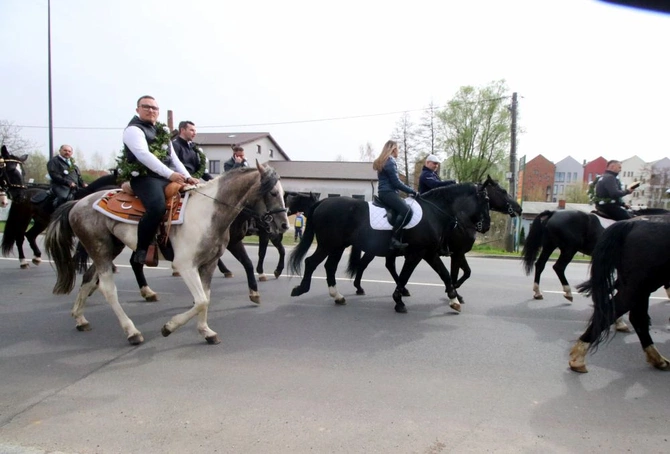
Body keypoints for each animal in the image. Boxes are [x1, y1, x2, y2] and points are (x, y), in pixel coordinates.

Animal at [290, 183, 494, 314]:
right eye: (486, 200)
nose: (486, 226)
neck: (433, 213)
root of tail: (323, 202)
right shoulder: (418, 253)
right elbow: (405, 276)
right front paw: (399, 301)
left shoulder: (429, 253)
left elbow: (444, 274)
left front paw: (454, 300)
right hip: (328, 244)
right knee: (311, 262)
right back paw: (301, 289)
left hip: (338, 246)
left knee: (329, 266)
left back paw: (338, 296)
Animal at [350, 176, 524, 304]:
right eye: (503, 191)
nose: (519, 208)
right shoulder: (456, 253)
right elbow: (455, 274)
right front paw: (454, 292)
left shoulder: (457, 253)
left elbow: (466, 272)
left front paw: (454, 291)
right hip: (377, 249)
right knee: (365, 264)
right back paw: (359, 287)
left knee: (387, 265)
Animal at [524, 208, 670, 302]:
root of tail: (554, 213)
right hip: (569, 249)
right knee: (558, 267)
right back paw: (568, 292)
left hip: (550, 246)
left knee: (540, 264)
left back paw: (538, 292)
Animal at [568, 215, 670, 372]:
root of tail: (631, 223)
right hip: (639, 287)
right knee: (618, 314)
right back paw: (578, 358)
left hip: (639, 287)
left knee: (637, 318)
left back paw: (656, 358)